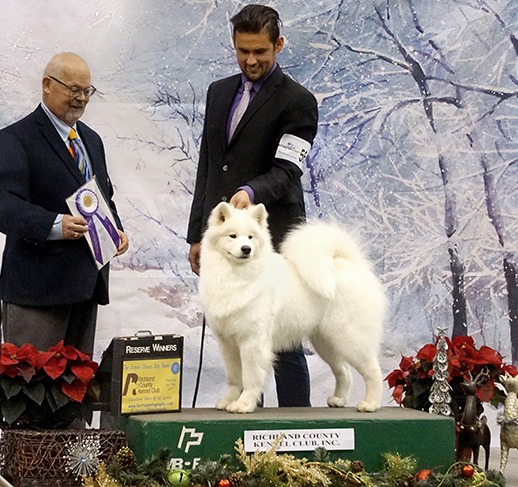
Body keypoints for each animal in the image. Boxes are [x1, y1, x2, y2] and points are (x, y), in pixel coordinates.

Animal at [201, 203, 388, 416]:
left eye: (250, 237)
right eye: (232, 236)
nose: (246, 249)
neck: (235, 275)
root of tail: (349, 263)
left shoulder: (252, 342)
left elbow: (250, 378)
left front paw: (244, 404)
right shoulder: (228, 343)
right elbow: (234, 378)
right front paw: (228, 401)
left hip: (350, 337)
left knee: (373, 371)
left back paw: (371, 404)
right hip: (326, 342)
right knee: (343, 371)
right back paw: (338, 399)